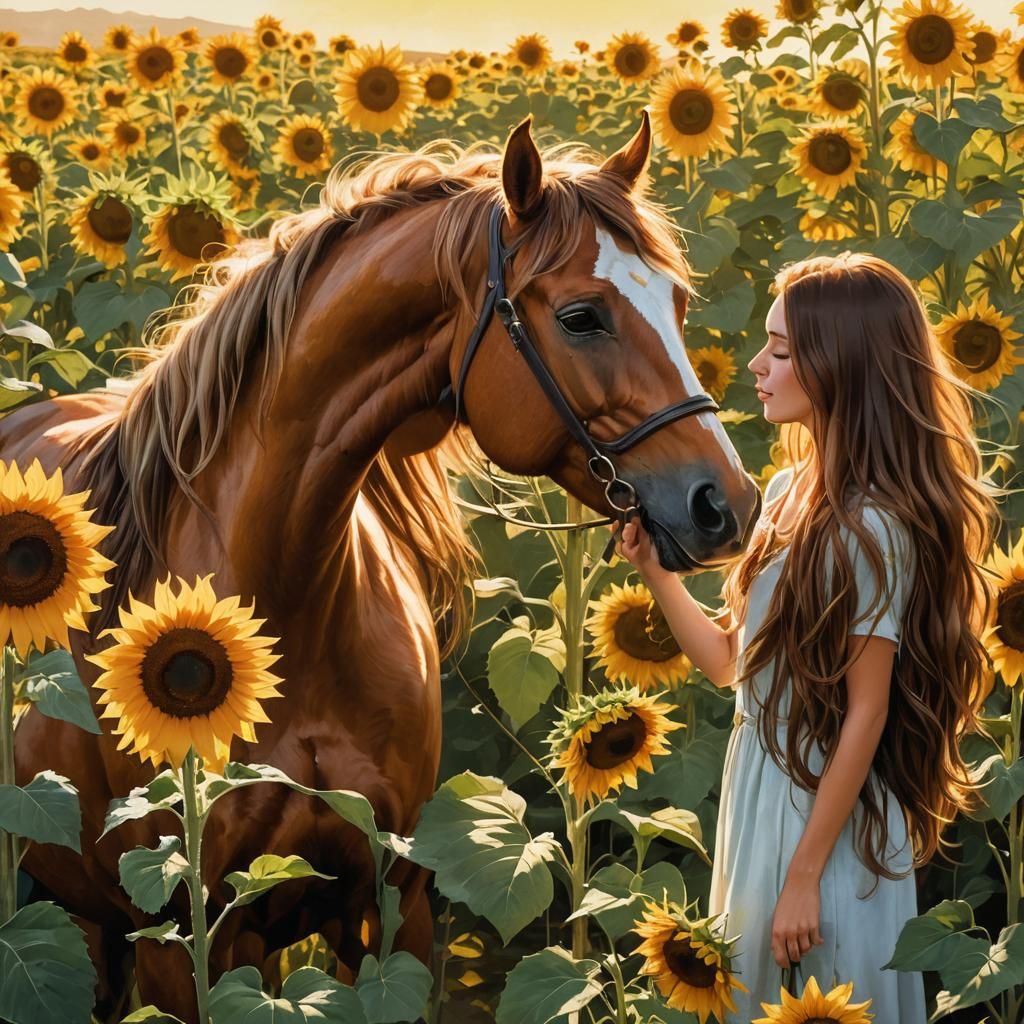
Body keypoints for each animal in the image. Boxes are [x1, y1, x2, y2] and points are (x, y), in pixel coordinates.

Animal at [6, 112, 762, 1022]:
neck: (288, 604)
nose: (729, 506)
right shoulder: (184, 936)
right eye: (582, 316)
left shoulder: (395, 902)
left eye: (679, 302)